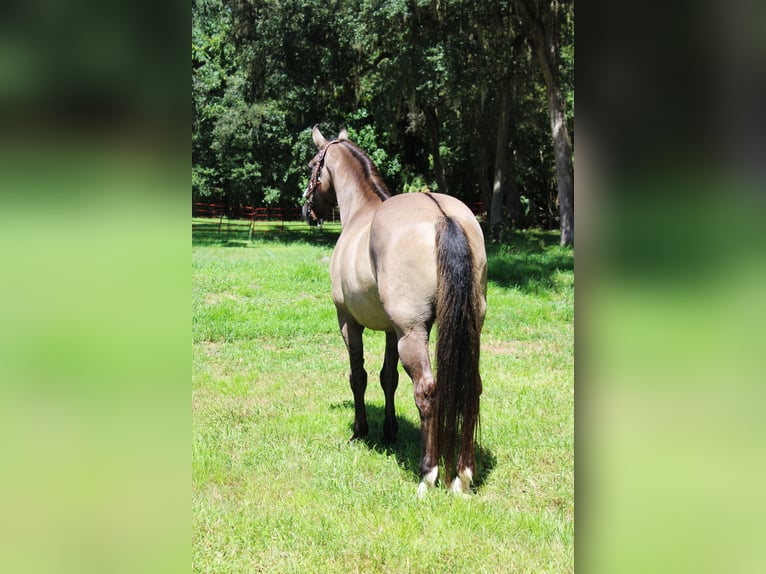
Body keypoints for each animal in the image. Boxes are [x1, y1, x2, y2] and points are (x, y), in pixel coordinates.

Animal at [303, 125, 487, 497]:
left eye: (313, 165)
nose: (306, 209)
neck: (361, 212)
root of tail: (443, 215)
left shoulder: (349, 322)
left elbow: (358, 376)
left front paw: (360, 431)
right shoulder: (391, 330)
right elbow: (388, 378)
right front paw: (389, 432)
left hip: (412, 334)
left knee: (426, 390)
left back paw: (428, 473)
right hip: (464, 326)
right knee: (471, 386)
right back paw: (463, 475)